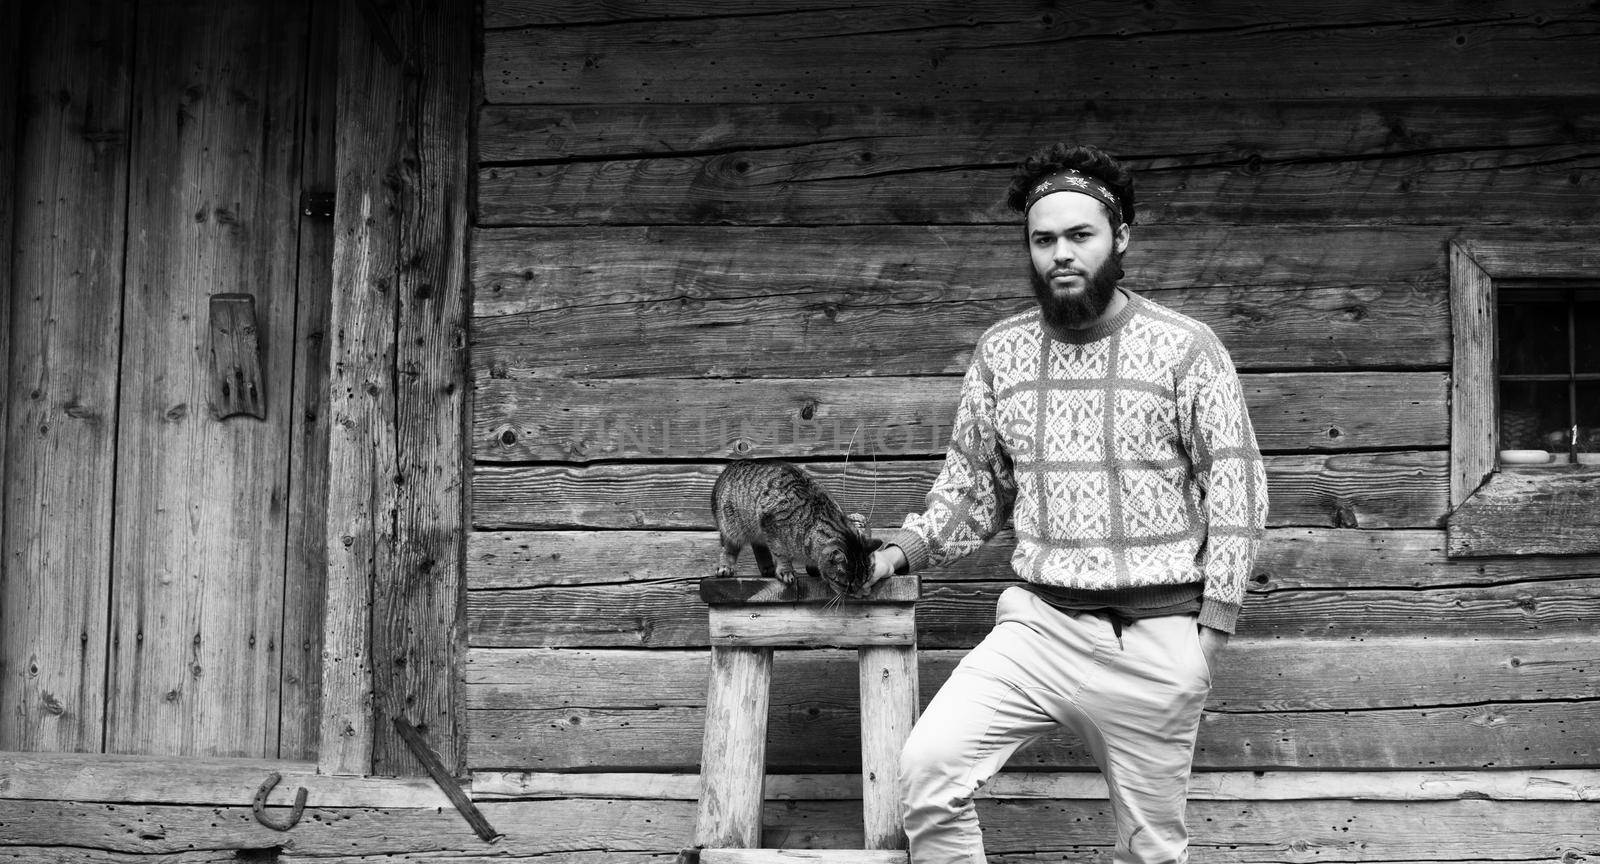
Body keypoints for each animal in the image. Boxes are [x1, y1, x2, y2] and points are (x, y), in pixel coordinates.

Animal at [716, 460, 889, 598]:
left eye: (865, 580)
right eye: (846, 584)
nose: (858, 594)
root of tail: (730, 465)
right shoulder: (771, 525)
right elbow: (781, 553)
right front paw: (786, 571)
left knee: (758, 545)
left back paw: (767, 568)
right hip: (732, 527)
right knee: (729, 548)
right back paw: (725, 566)